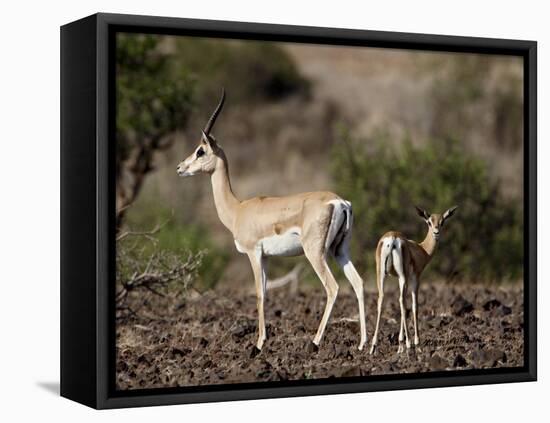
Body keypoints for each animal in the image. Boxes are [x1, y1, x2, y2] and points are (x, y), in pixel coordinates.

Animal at [177, 89, 366, 352]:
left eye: (200, 151)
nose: (180, 168)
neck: (238, 210)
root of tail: (339, 202)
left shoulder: (254, 254)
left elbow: (259, 294)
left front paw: (258, 344)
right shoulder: (266, 257)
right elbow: (266, 293)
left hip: (315, 253)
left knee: (333, 287)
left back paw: (315, 341)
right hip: (339, 250)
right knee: (358, 283)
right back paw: (365, 344)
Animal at [374, 205, 460, 354]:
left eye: (442, 221)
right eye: (429, 222)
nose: (436, 232)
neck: (421, 250)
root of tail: (392, 238)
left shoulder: (402, 279)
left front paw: (400, 345)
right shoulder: (414, 278)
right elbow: (414, 306)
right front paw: (415, 344)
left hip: (382, 275)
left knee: (382, 299)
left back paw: (372, 347)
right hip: (402, 277)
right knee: (402, 301)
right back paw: (409, 344)